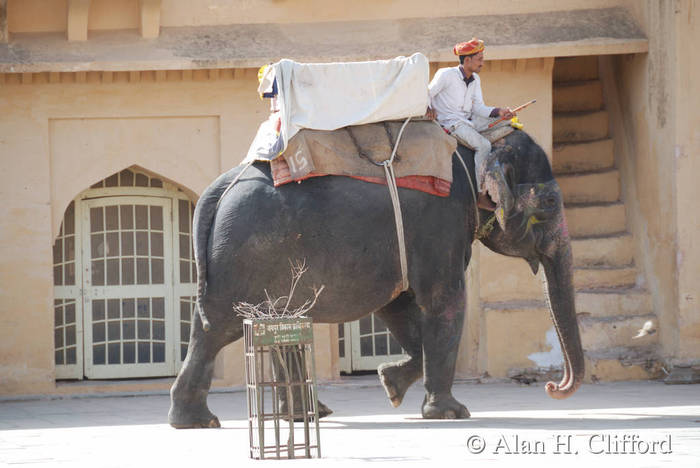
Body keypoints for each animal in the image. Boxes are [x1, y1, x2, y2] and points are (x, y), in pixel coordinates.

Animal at [167, 128, 584, 428]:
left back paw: (303, 415)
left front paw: (390, 384)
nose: (552, 386)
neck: (476, 148)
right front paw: (451, 413)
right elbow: (444, 300)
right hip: (244, 258)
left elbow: (399, 306)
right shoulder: (441, 224)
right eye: (550, 203)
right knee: (218, 330)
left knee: (260, 327)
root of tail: (216, 190)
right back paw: (200, 422)